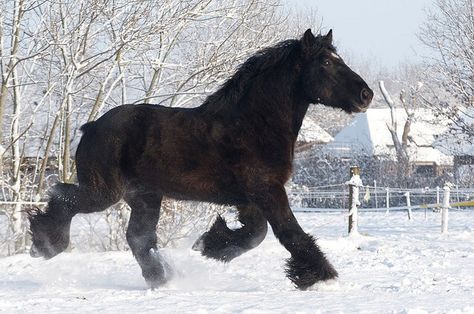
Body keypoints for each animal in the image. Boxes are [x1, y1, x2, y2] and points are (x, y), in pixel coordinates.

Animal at [27, 29, 372, 290]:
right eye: (325, 62)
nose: (365, 95)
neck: (253, 125)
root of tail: (92, 126)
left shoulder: (250, 198)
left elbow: (255, 234)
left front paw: (211, 244)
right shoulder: (268, 191)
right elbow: (289, 232)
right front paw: (319, 276)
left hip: (145, 197)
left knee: (138, 238)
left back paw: (161, 278)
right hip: (104, 192)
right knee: (65, 199)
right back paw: (45, 244)